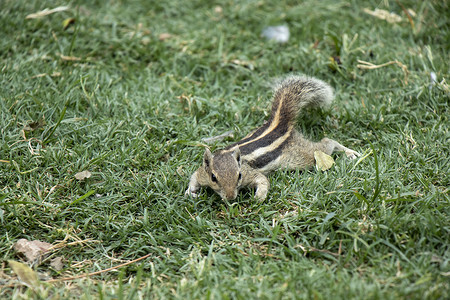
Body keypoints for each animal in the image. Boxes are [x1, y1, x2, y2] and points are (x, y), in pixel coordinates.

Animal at [185, 75, 360, 202]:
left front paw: (258, 197)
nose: (230, 197)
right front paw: (190, 192)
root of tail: (278, 125)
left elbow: (262, 180)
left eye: (239, 175)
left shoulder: (250, 173)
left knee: (326, 143)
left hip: (302, 156)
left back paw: (349, 152)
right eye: (213, 177)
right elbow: (194, 176)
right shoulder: (202, 172)